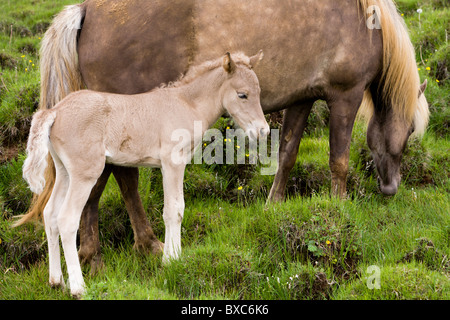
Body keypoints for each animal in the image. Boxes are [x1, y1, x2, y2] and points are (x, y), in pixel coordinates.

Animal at [19, 0, 430, 270]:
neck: (365, 23)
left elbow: (288, 153)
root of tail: (87, 9)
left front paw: (273, 205)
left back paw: (110, 249)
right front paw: (340, 208)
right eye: (409, 129)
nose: (391, 188)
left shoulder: (302, 99)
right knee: (115, 178)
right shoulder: (345, 95)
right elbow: (339, 160)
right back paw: (113, 251)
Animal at [23, 51, 268, 298]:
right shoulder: (173, 162)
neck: (186, 103)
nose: (263, 131)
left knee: (49, 214)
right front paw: (172, 260)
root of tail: (54, 111)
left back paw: (57, 282)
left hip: (64, 172)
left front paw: (171, 257)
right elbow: (174, 210)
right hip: (85, 174)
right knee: (66, 219)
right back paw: (78, 287)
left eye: (259, 92)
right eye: (242, 94)